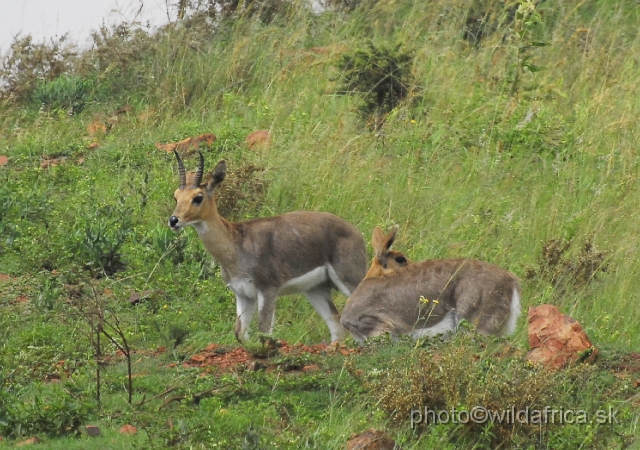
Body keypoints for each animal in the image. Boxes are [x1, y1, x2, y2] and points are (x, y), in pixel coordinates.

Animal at [168, 151, 368, 342]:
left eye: (198, 197)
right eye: (176, 196)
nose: (173, 220)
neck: (237, 244)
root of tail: (356, 232)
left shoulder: (268, 290)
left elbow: (263, 332)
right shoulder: (243, 295)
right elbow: (240, 334)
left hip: (350, 280)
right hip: (315, 289)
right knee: (338, 327)